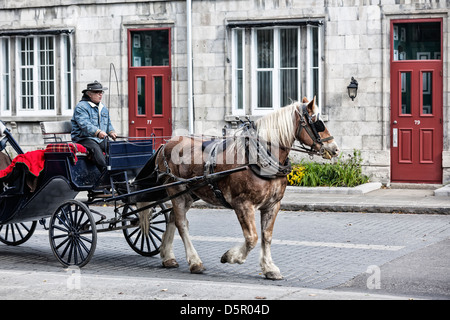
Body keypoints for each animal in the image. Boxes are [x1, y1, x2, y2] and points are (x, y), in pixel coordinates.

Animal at [135, 97, 340, 280]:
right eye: (317, 123)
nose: (335, 148)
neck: (259, 158)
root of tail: (165, 144)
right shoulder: (243, 204)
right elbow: (252, 238)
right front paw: (231, 257)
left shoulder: (272, 205)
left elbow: (266, 236)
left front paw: (269, 268)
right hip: (176, 190)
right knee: (181, 223)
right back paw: (194, 262)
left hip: (190, 193)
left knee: (172, 218)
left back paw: (167, 256)